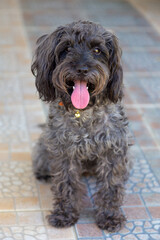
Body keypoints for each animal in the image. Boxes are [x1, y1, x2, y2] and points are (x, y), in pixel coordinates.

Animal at [31, 20, 130, 232]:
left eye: (97, 50)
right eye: (67, 48)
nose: (82, 69)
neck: (83, 113)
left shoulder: (114, 150)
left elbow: (111, 186)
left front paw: (110, 216)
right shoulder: (64, 153)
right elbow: (65, 184)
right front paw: (65, 214)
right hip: (45, 145)